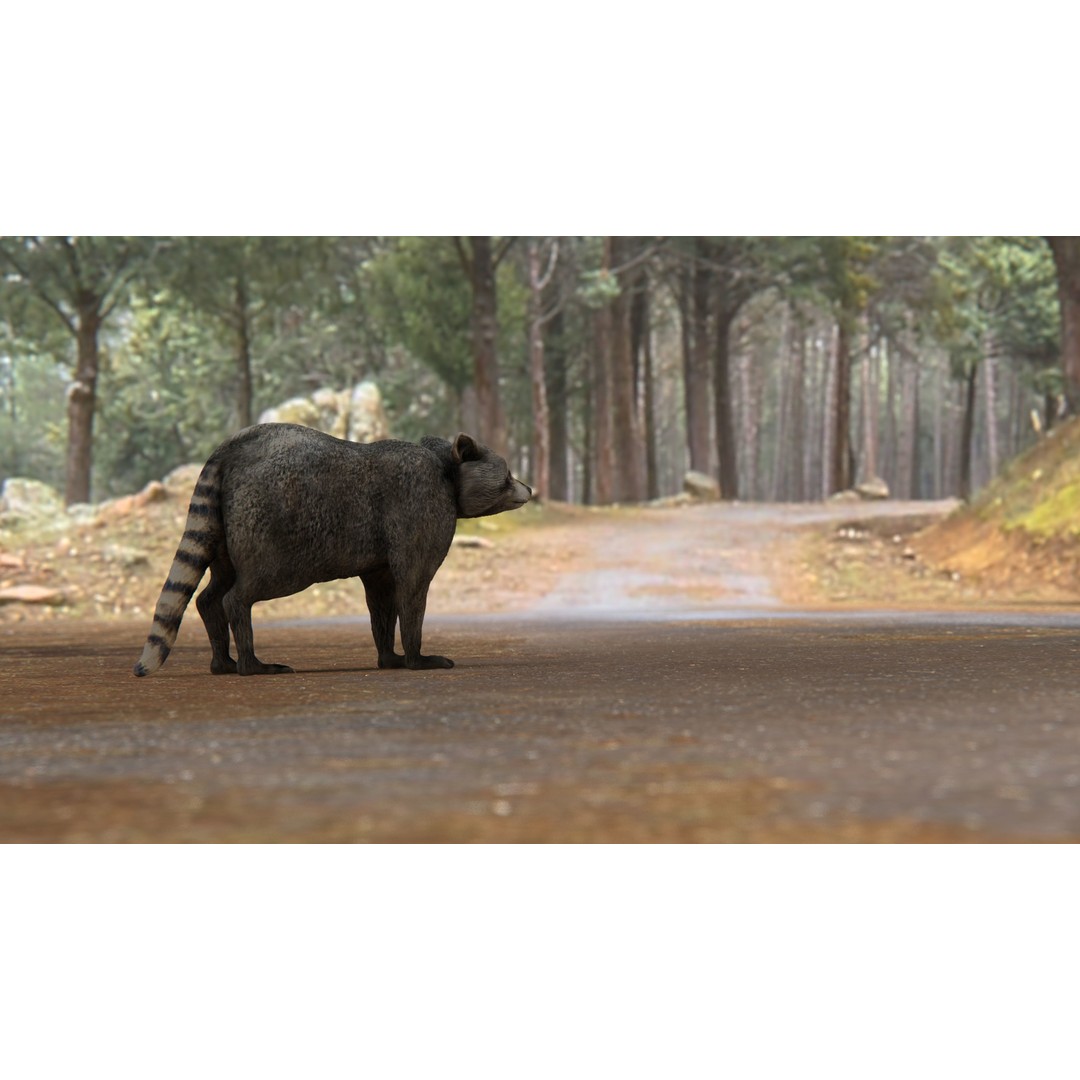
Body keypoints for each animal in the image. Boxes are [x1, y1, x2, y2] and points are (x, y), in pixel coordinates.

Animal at [133, 424, 531, 677]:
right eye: (508, 476)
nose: (530, 490)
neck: (445, 467)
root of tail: (228, 451)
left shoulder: (379, 557)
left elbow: (382, 600)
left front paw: (389, 654)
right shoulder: (419, 506)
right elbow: (412, 588)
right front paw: (416, 655)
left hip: (222, 530)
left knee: (212, 593)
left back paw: (223, 660)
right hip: (276, 534)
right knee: (243, 592)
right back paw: (249, 663)